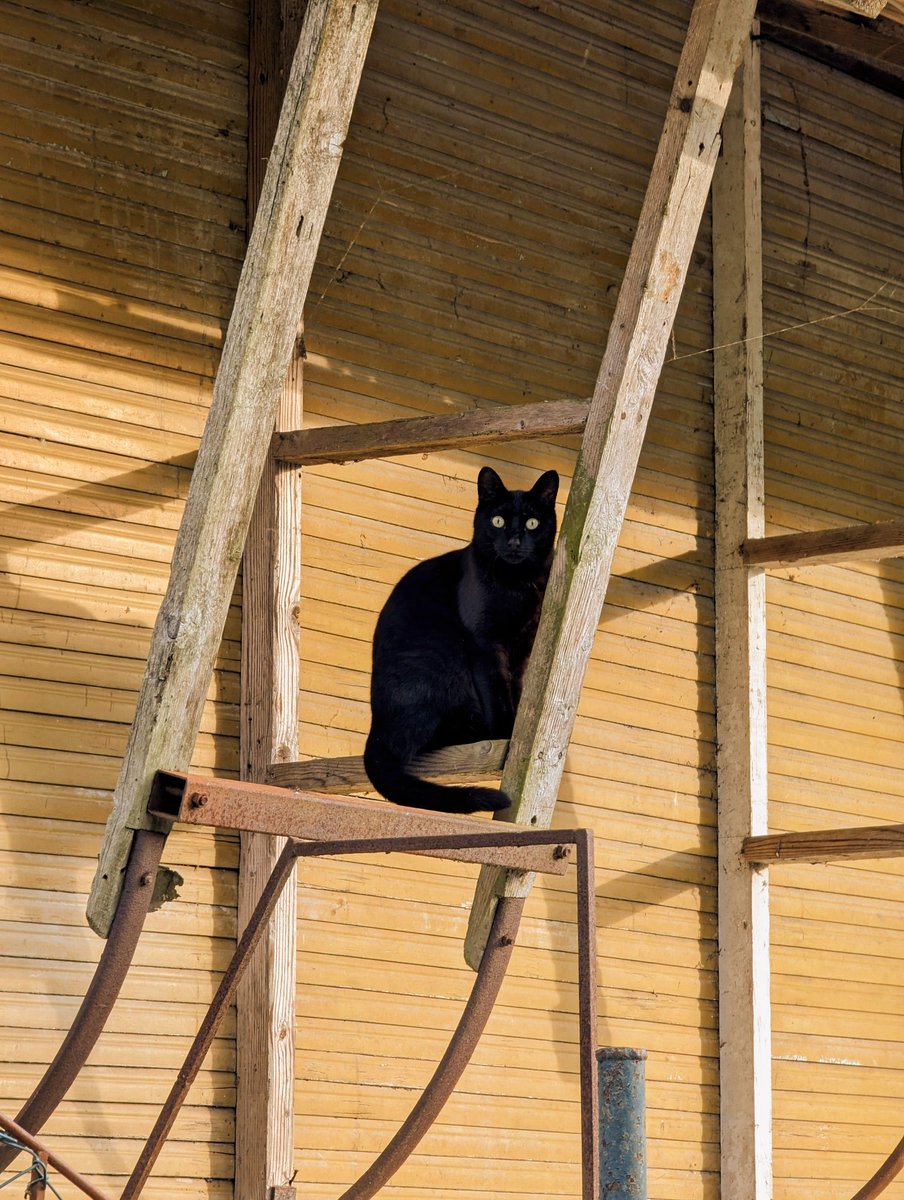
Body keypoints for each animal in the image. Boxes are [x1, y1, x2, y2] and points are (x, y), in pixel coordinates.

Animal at [362, 463, 557, 811]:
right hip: (442, 658)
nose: (514, 540)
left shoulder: (524, 646)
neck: (518, 584)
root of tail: (376, 730)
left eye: (532, 523)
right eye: (498, 521)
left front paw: (520, 725)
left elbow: (517, 688)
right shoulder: (486, 642)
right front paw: (506, 733)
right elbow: (498, 692)